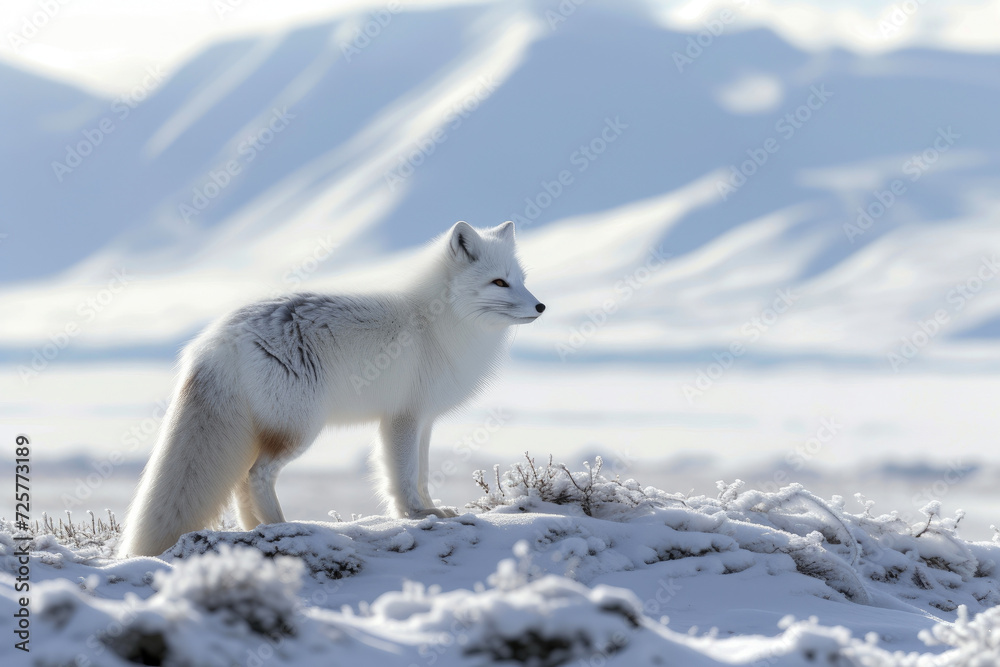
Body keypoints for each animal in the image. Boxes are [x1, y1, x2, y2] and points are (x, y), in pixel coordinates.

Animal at [118, 221, 544, 557]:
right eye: (499, 282)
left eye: (521, 280)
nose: (541, 307)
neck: (438, 322)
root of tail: (218, 338)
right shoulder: (402, 418)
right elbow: (402, 477)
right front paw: (415, 515)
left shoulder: (424, 420)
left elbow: (421, 474)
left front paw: (433, 508)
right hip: (300, 429)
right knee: (257, 475)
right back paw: (280, 525)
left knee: (241, 482)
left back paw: (257, 529)